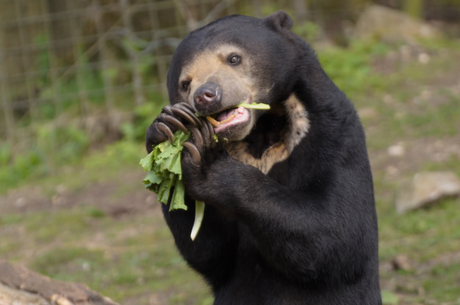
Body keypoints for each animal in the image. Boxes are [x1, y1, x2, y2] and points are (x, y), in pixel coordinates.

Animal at [146, 10, 382, 304]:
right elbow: (211, 252)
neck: (260, 132)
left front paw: (207, 162)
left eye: (233, 58)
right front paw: (166, 128)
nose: (205, 96)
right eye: (185, 83)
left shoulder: (334, 130)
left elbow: (338, 230)